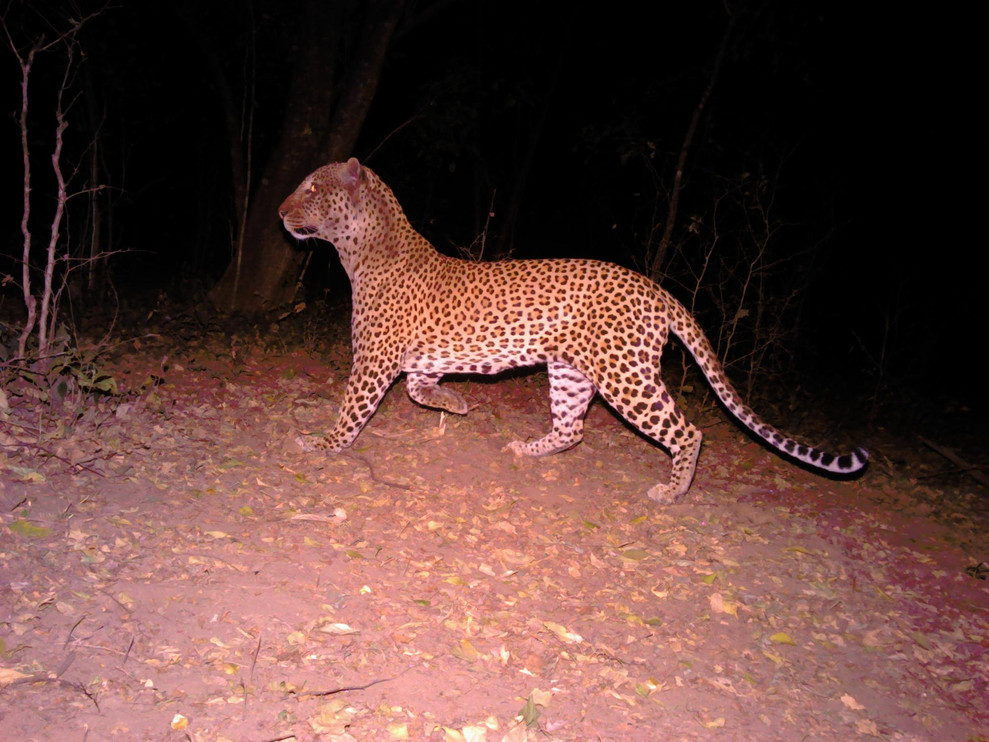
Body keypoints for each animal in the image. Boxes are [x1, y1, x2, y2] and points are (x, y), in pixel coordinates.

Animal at [279, 158, 868, 503]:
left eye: (311, 188)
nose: (281, 212)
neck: (360, 249)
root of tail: (656, 289)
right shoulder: (419, 362)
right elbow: (421, 391)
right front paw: (459, 406)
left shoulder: (372, 361)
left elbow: (352, 409)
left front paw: (324, 444)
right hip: (570, 372)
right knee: (573, 429)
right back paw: (528, 449)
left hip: (626, 375)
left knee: (688, 431)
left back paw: (671, 492)